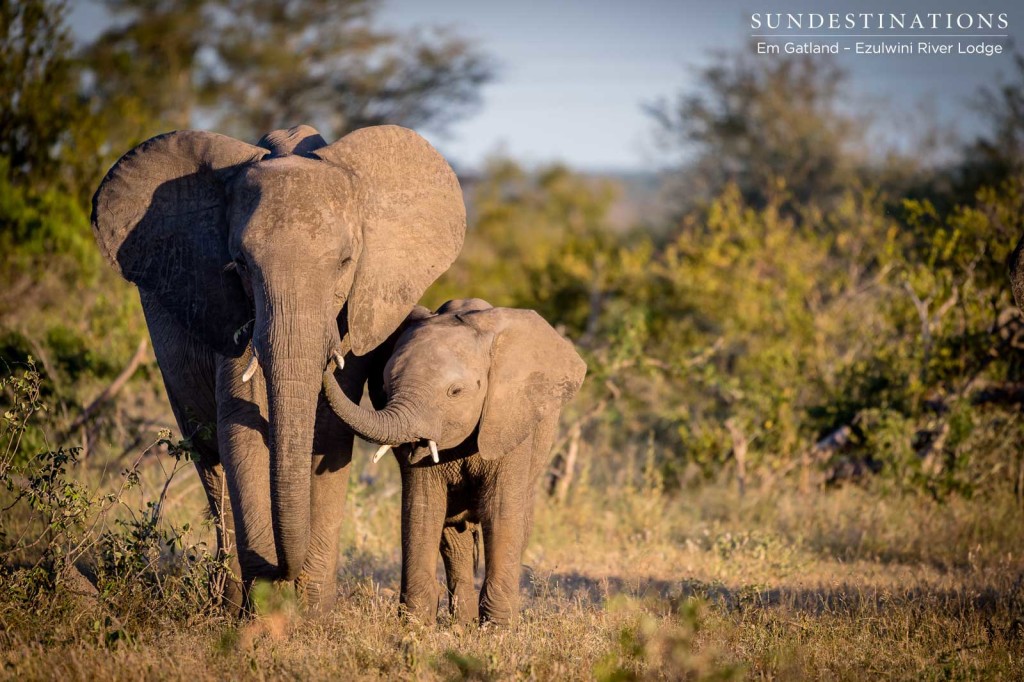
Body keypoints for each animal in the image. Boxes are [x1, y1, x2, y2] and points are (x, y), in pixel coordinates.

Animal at [90, 123, 466, 610]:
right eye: (240, 264)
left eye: (345, 262)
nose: (283, 574)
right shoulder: (227, 307)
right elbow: (238, 428)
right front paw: (264, 608)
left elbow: (330, 435)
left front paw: (312, 611)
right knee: (209, 460)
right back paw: (228, 600)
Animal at [323, 296, 589, 622]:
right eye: (385, 386)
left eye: (455, 392)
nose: (332, 358)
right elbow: (423, 507)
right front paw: (415, 624)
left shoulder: (510, 419)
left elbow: (501, 510)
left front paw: (498, 627)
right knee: (453, 538)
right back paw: (461, 623)